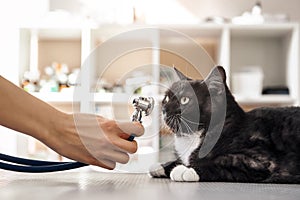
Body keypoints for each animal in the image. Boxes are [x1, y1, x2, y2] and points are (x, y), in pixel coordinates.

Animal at [149, 66, 300, 183]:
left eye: (185, 100)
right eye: (166, 98)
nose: (164, 109)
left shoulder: (260, 161)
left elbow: (221, 162)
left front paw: (186, 170)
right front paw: (161, 166)